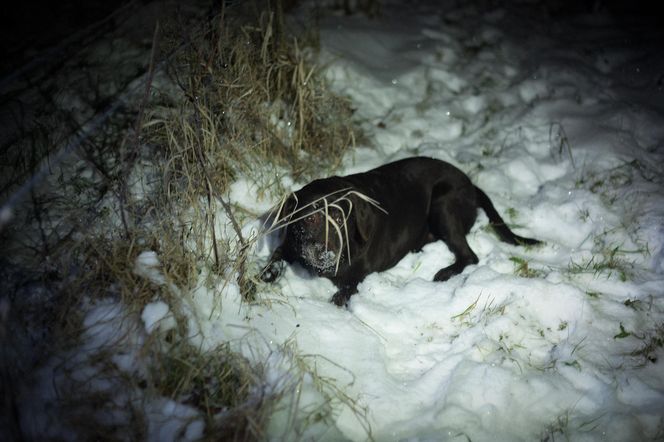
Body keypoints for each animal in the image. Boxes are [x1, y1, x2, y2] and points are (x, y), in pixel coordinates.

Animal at [260, 157, 540, 306]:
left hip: (443, 203)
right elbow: (275, 257)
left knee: (469, 255)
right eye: (311, 218)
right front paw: (264, 277)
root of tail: (471, 184)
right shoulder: (289, 244)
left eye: (340, 218)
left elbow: (342, 293)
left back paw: (445, 272)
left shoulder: (359, 276)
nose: (326, 255)